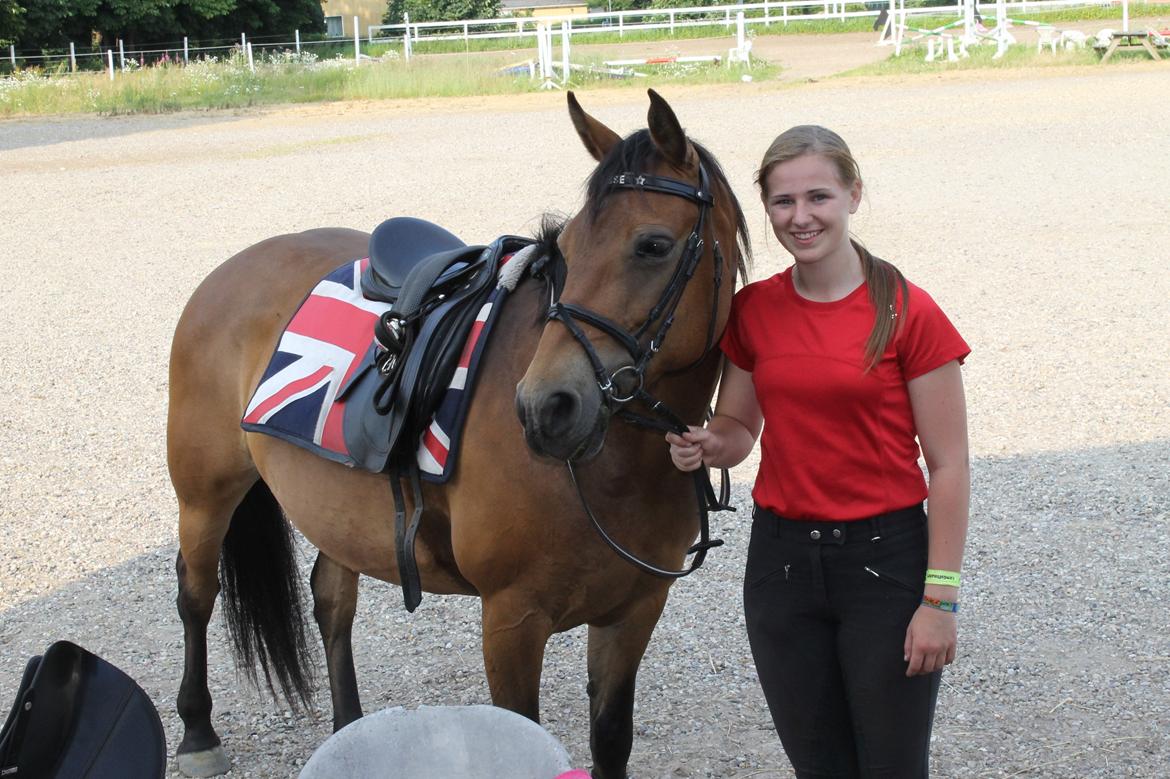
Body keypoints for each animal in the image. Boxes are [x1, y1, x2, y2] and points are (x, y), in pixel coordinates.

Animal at [167, 87, 748, 771]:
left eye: (653, 245)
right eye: (567, 251)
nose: (545, 407)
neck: (617, 471)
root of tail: (232, 270)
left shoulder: (633, 613)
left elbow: (610, 741)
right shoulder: (511, 620)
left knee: (331, 602)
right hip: (205, 496)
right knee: (196, 594)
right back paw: (197, 731)